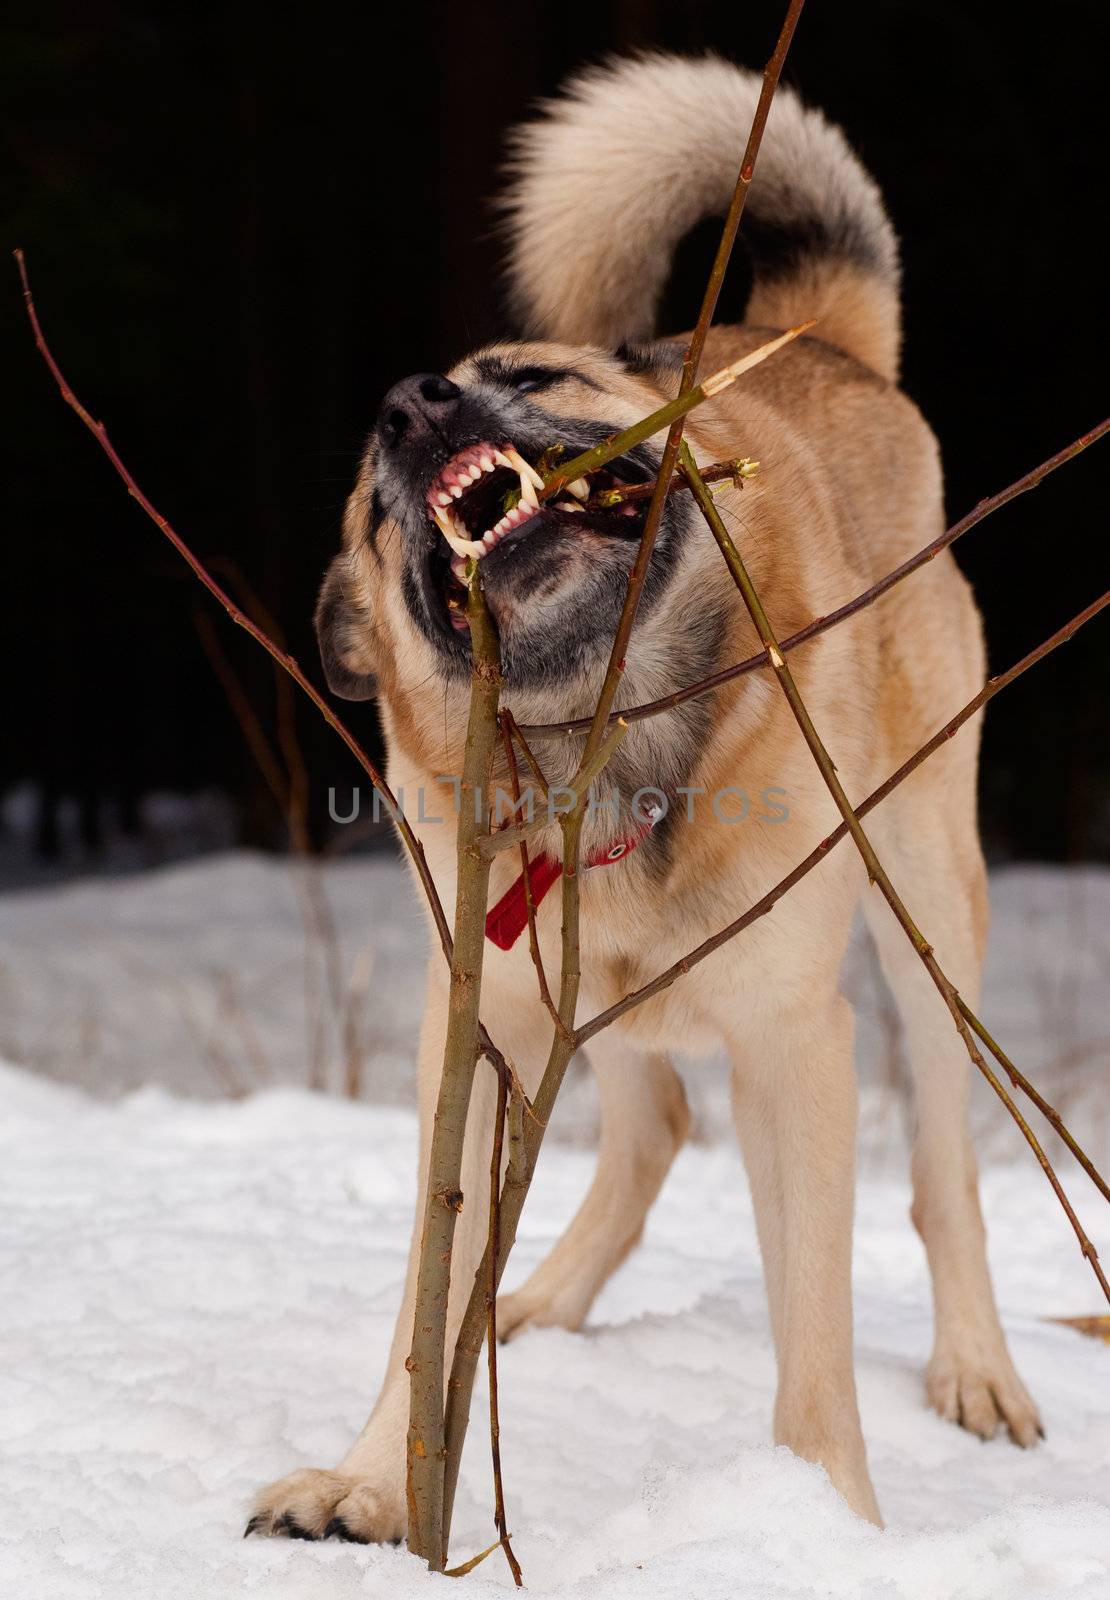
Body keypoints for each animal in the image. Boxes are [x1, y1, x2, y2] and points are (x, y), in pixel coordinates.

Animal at [252, 56, 1042, 1542]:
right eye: (377, 509)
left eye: (527, 375)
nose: (412, 404)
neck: (604, 764)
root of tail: (811, 338)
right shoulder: (481, 1031)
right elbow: (425, 1299)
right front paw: (374, 1481)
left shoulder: (797, 1044)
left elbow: (814, 1348)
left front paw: (822, 1527)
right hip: (585, 1004)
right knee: (653, 1129)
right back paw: (533, 1302)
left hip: (924, 903)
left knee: (944, 1173)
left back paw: (976, 1369)